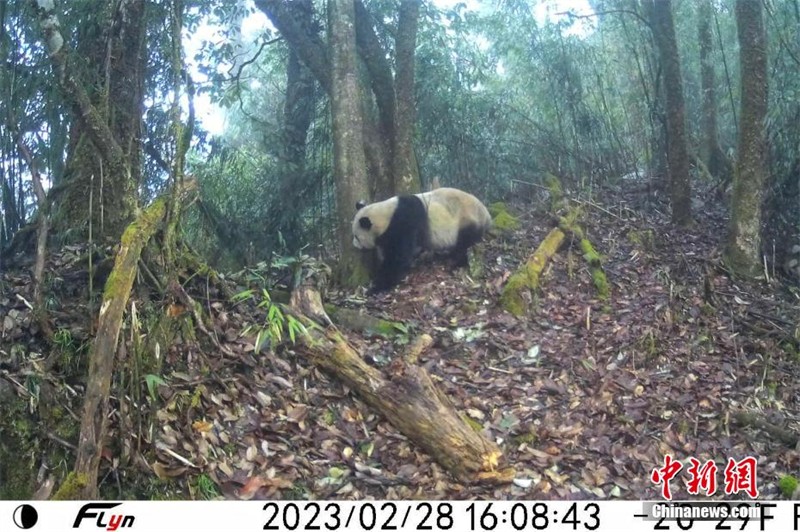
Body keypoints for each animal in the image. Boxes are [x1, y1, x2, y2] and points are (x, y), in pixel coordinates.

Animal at [352, 187, 490, 294]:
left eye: (356, 236)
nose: (354, 246)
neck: (386, 214)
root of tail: (486, 213)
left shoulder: (405, 222)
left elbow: (399, 257)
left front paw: (377, 286)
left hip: (465, 220)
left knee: (464, 243)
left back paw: (456, 262)